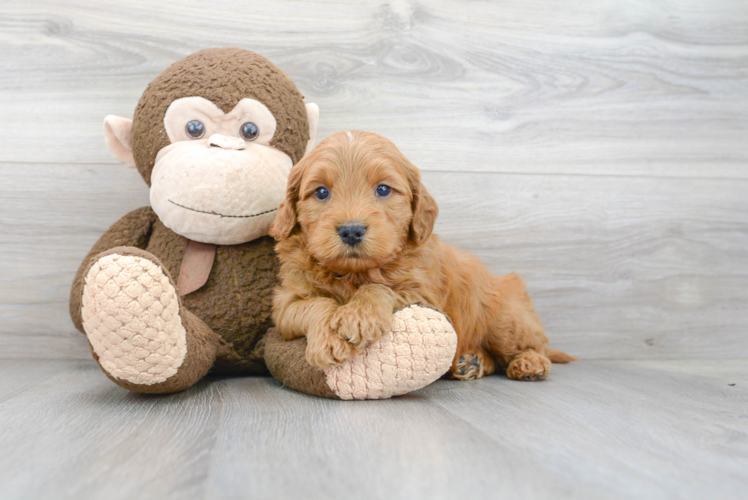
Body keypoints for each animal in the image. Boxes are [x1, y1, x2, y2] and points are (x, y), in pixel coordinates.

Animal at [270, 131, 580, 380]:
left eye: (383, 189)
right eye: (321, 192)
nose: (351, 231)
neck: (353, 274)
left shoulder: (425, 295)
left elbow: (380, 287)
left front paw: (360, 314)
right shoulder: (285, 304)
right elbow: (315, 304)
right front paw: (329, 340)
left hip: (506, 320)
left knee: (534, 346)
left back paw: (530, 364)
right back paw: (473, 362)